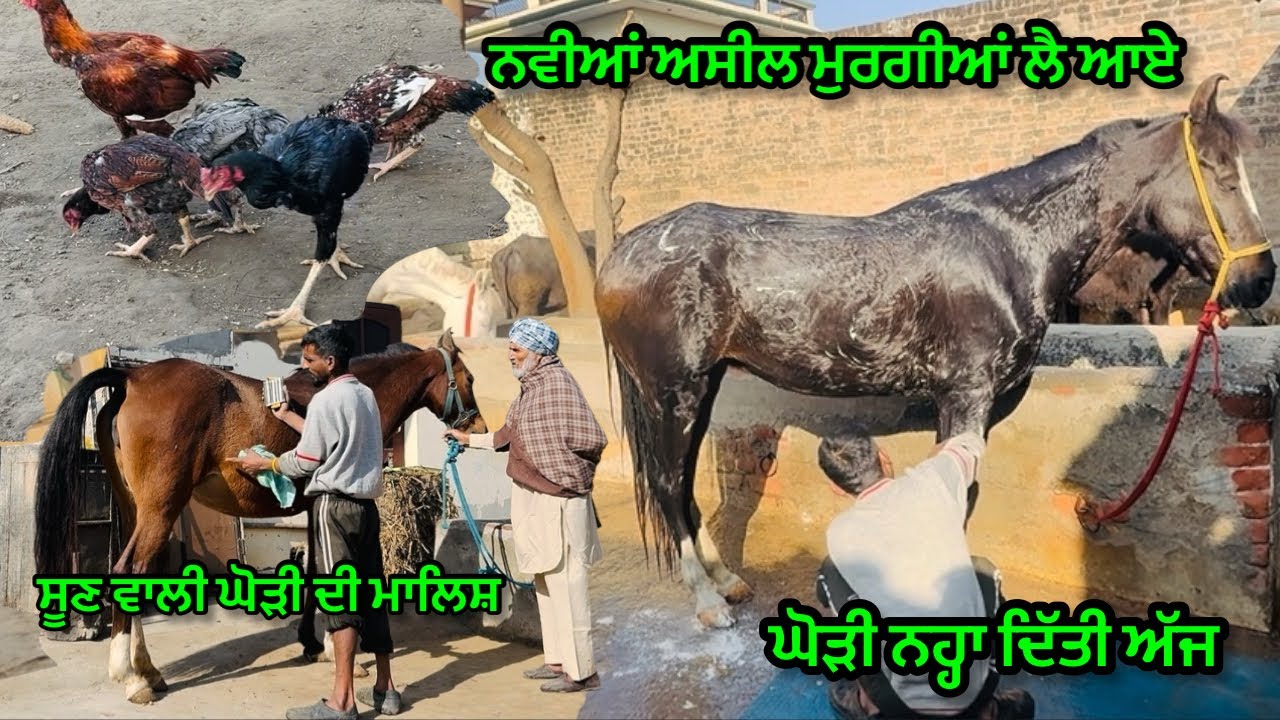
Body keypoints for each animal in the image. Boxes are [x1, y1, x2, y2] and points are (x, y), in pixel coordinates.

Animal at [32, 329, 488, 704]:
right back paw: (133, 679)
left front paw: (312, 645)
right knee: (130, 571)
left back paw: (146, 671)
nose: (477, 427)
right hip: (160, 509)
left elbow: (313, 574)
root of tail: (131, 379)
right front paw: (336, 652)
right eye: (469, 379)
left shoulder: (310, 507)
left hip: (134, 509)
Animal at [594, 74, 1276, 629]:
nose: (1260, 279)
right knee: (665, 482)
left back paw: (728, 580)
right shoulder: (964, 397)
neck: (1007, 244)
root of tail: (623, 251)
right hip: (674, 393)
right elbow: (959, 499)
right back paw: (707, 601)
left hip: (702, 388)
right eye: (1217, 170)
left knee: (682, 482)